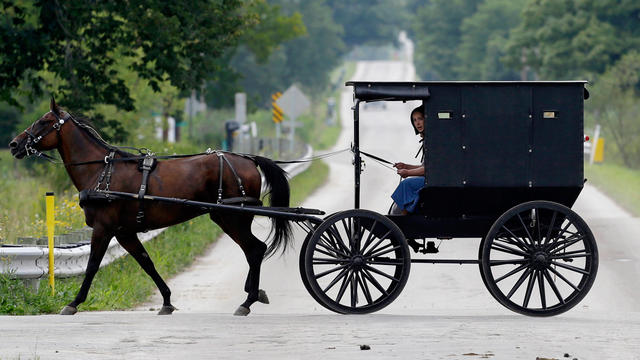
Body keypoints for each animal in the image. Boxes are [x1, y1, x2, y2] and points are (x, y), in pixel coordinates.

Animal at [8, 97, 294, 316]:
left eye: (44, 122)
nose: (14, 144)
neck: (102, 171)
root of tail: (248, 160)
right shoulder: (124, 232)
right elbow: (147, 263)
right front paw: (167, 300)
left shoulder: (104, 228)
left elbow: (92, 266)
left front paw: (73, 303)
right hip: (229, 218)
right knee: (253, 251)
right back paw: (253, 293)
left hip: (231, 218)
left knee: (255, 250)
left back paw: (248, 300)